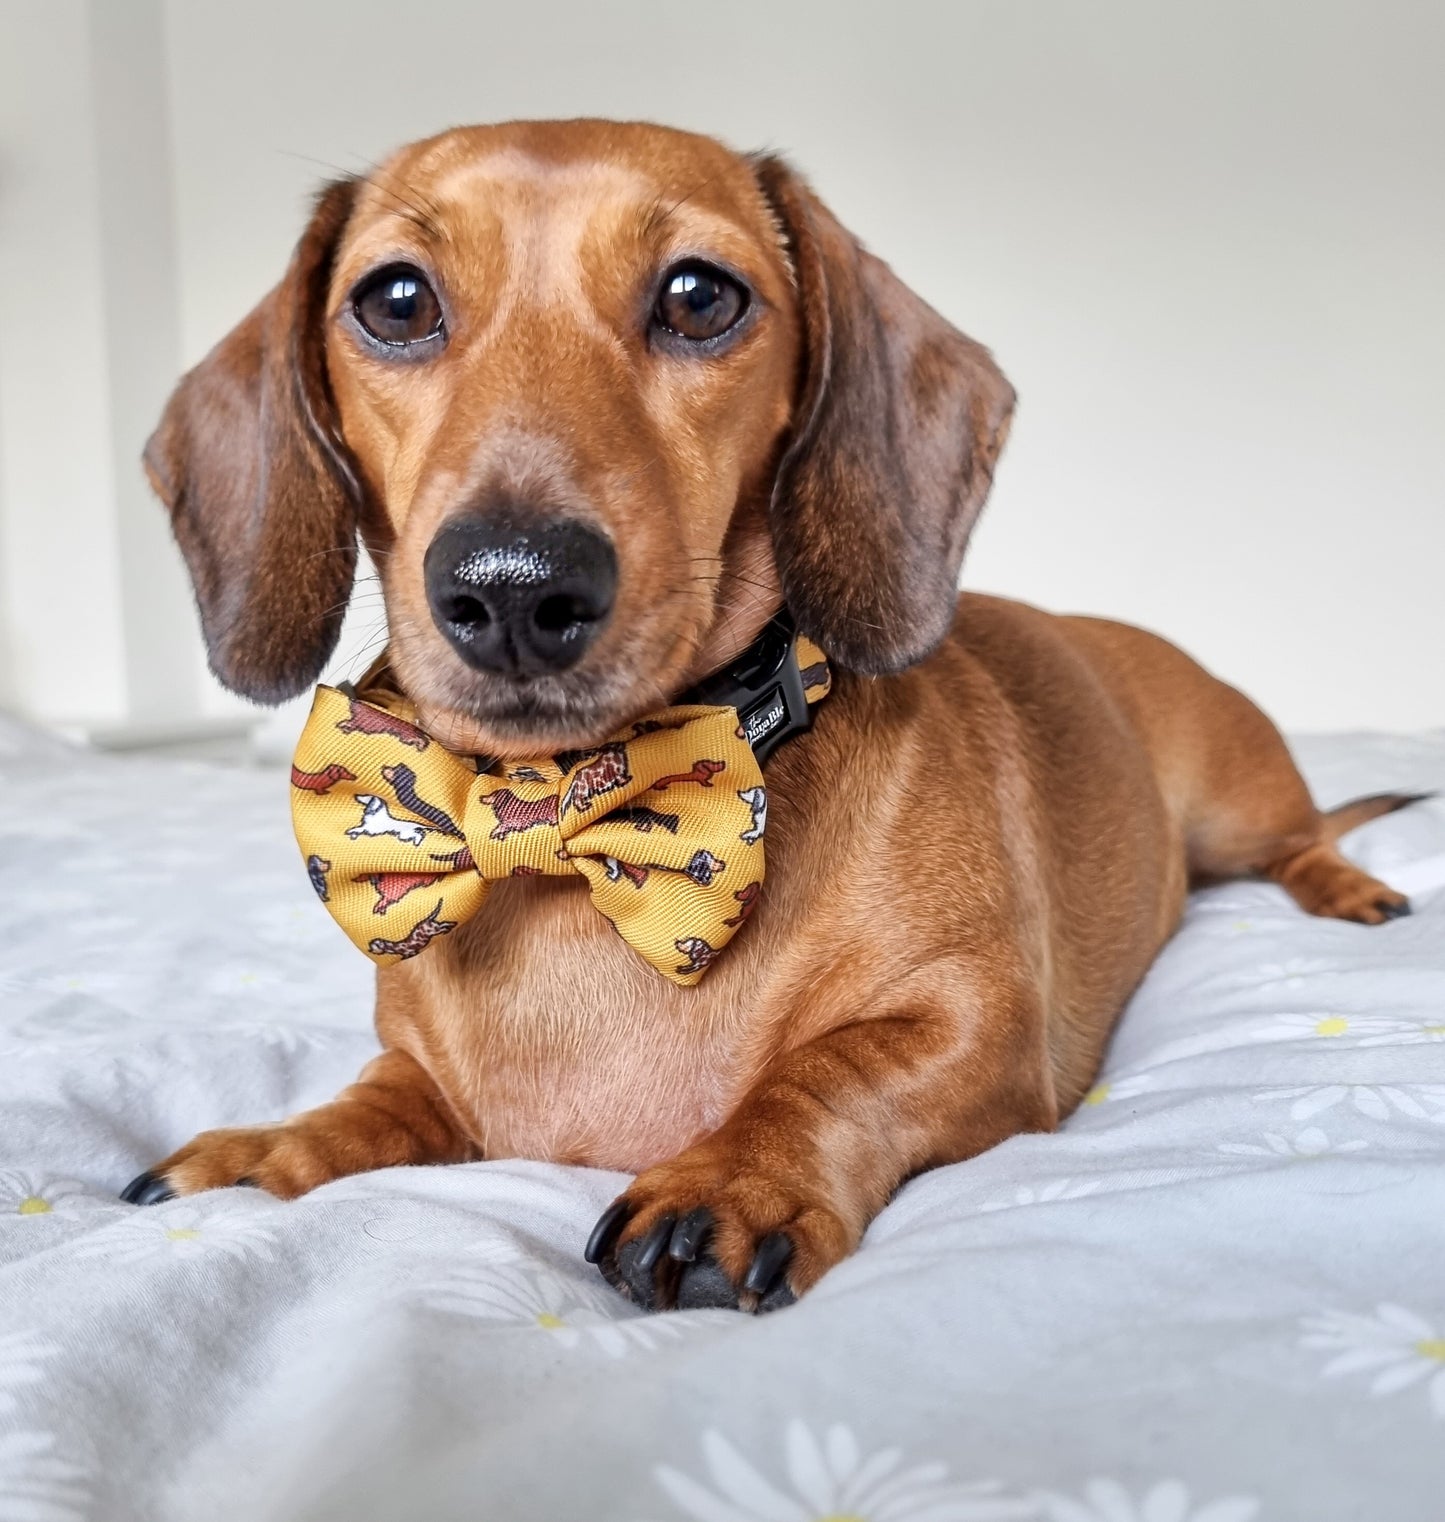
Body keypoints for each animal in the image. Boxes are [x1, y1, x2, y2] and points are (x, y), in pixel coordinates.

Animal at [132, 118, 1406, 1315]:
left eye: (699, 296)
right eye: (394, 301)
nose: (513, 586)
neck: (570, 808)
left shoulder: (981, 1023)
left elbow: (830, 1068)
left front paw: (729, 1177)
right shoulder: (420, 1066)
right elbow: (380, 1096)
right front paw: (276, 1146)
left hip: (1236, 808)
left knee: (1303, 839)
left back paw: (1352, 891)